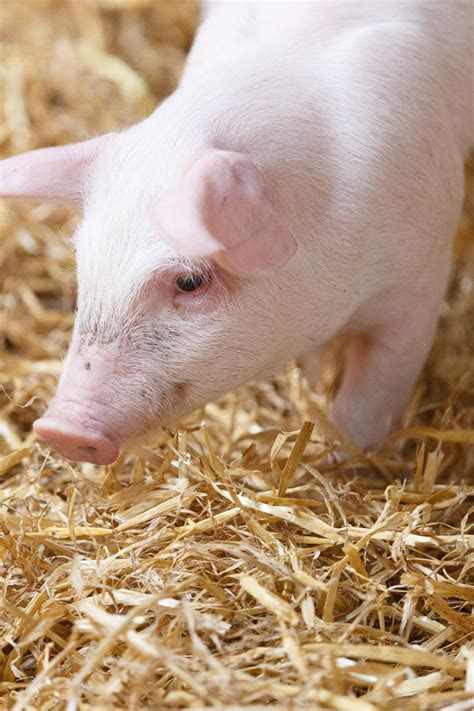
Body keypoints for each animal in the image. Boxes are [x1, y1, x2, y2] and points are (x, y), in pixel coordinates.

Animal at [1, 1, 472, 465]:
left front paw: (336, 459)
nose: (59, 429)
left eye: (189, 281)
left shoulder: (418, 282)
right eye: (83, 268)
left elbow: (372, 396)